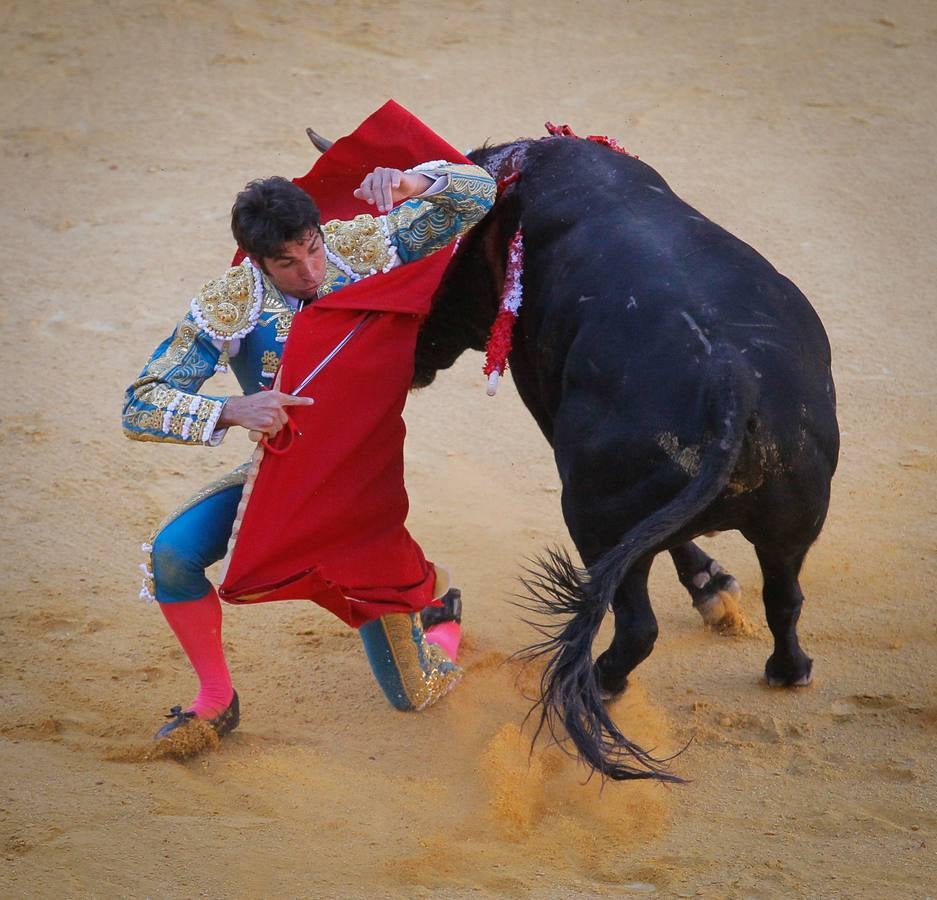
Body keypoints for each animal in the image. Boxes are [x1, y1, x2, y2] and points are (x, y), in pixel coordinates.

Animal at [414, 134, 836, 780]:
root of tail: (731, 383)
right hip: (795, 518)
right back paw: (790, 670)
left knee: (637, 623)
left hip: (592, 514)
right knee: (784, 597)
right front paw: (715, 587)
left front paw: (710, 586)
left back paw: (603, 680)